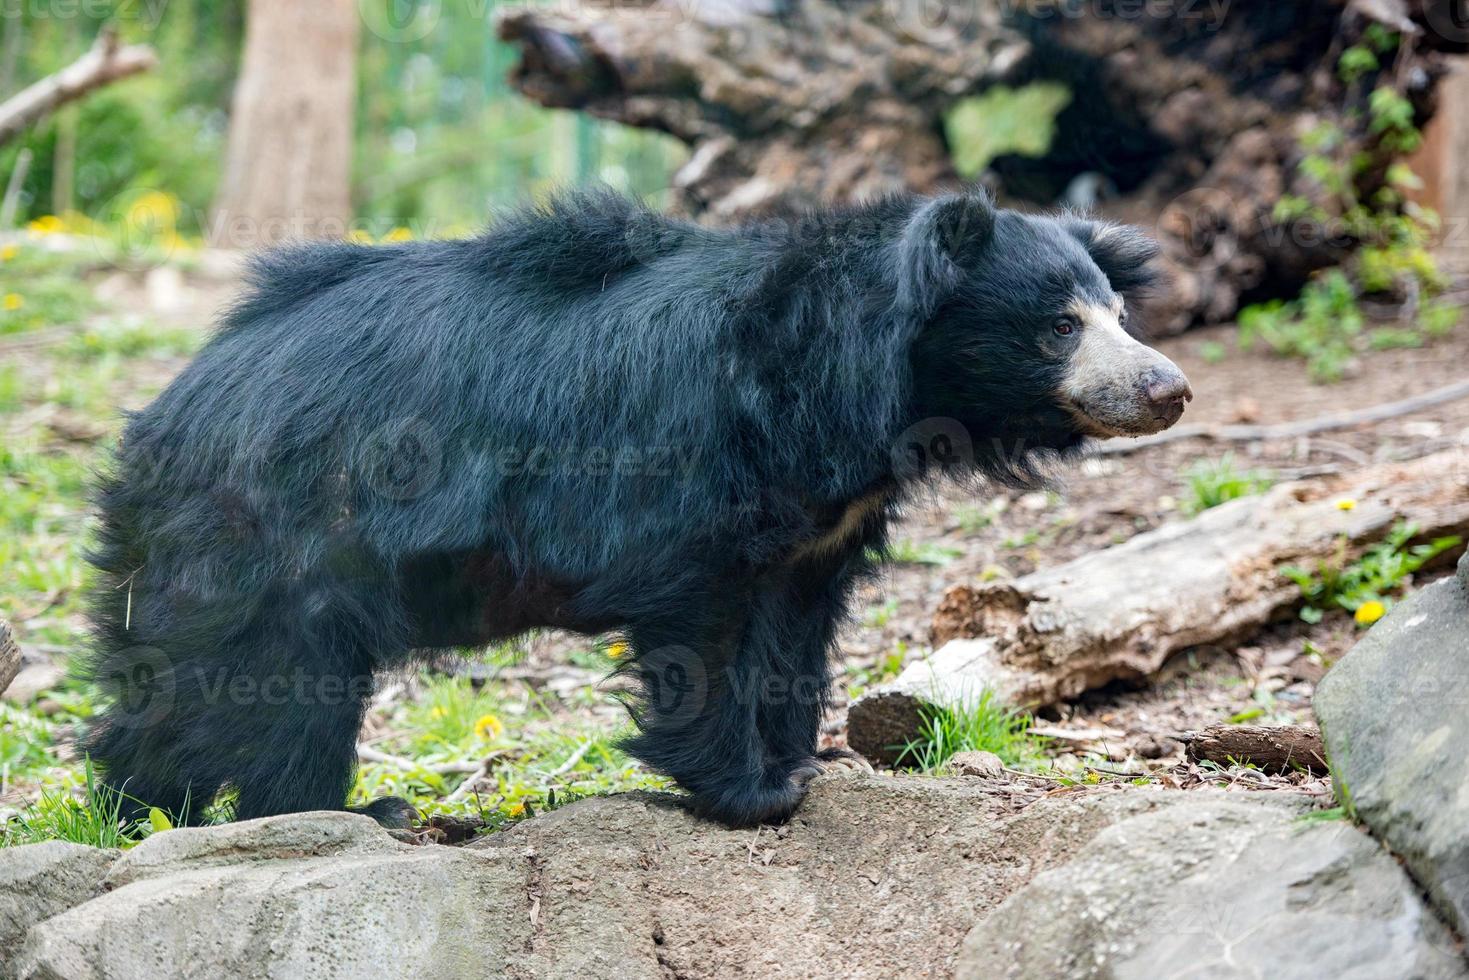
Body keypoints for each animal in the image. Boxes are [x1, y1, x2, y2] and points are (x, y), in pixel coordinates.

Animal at [83, 189, 1192, 828]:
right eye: (1058, 325)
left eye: (1117, 313)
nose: (1166, 388)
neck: (855, 392)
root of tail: (170, 403)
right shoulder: (696, 480)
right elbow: (703, 636)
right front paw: (751, 792)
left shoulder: (816, 528)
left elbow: (792, 642)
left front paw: (801, 760)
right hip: (285, 539)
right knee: (276, 696)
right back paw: (340, 813)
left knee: (170, 687)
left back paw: (136, 812)